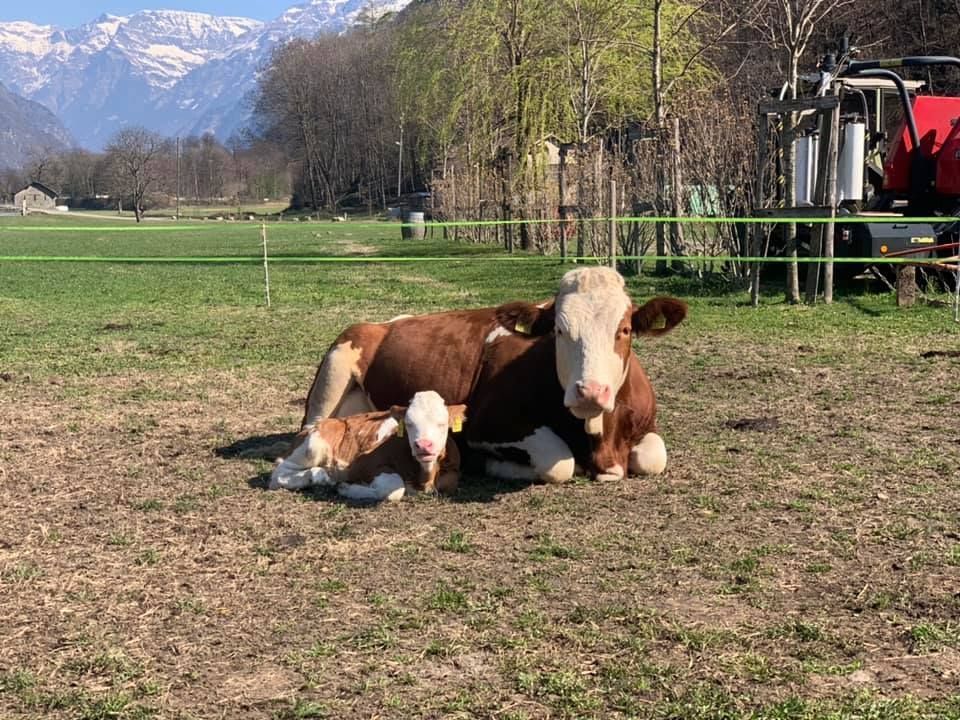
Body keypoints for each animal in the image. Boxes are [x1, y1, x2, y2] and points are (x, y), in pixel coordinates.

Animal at [271, 391, 467, 503]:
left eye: (442, 424)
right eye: (409, 424)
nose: (424, 445)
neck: (424, 477)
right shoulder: (364, 465)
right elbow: (394, 488)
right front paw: (347, 488)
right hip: (314, 445)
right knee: (278, 474)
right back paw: (322, 476)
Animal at [301, 267, 686, 482]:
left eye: (624, 330)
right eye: (558, 330)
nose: (589, 391)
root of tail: (386, 323)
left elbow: (654, 458)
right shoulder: (484, 424)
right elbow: (557, 462)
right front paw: (494, 466)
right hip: (337, 363)